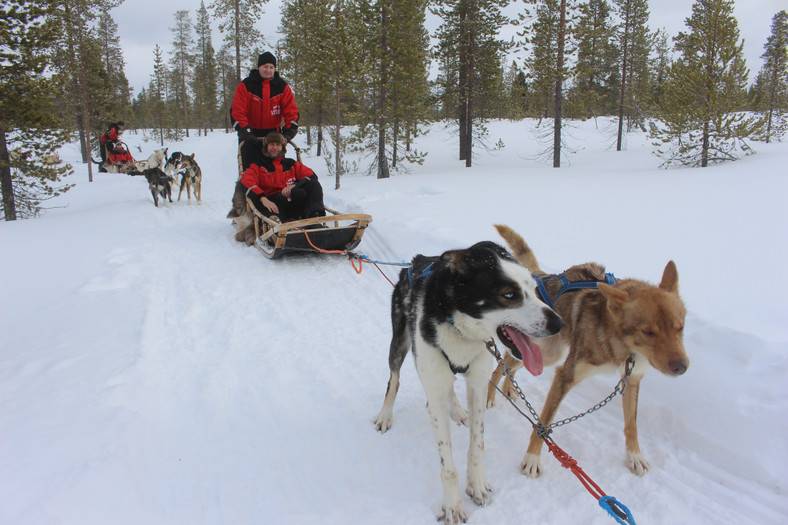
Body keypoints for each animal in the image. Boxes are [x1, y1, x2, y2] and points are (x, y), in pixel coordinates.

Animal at [374, 239, 564, 520]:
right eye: (509, 295)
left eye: (533, 288)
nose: (559, 323)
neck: (460, 328)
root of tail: (418, 259)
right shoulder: (434, 394)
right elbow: (447, 462)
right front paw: (453, 505)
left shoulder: (478, 385)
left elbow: (477, 445)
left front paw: (477, 485)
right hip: (400, 344)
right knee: (394, 379)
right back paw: (385, 415)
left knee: (450, 388)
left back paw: (457, 410)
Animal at [490, 223, 688, 476]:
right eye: (648, 332)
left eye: (680, 327)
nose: (681, 367)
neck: (623, 345)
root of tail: (543, 279)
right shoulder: (566, 375)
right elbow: (544, 423)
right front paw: (532, 458)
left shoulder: (632, 378)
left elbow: (631, 424)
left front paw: (634, 455)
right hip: (549, 353)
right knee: (500, 367)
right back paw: (490, 395)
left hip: (547, 353)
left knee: (515, 365)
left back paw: (509, 388)